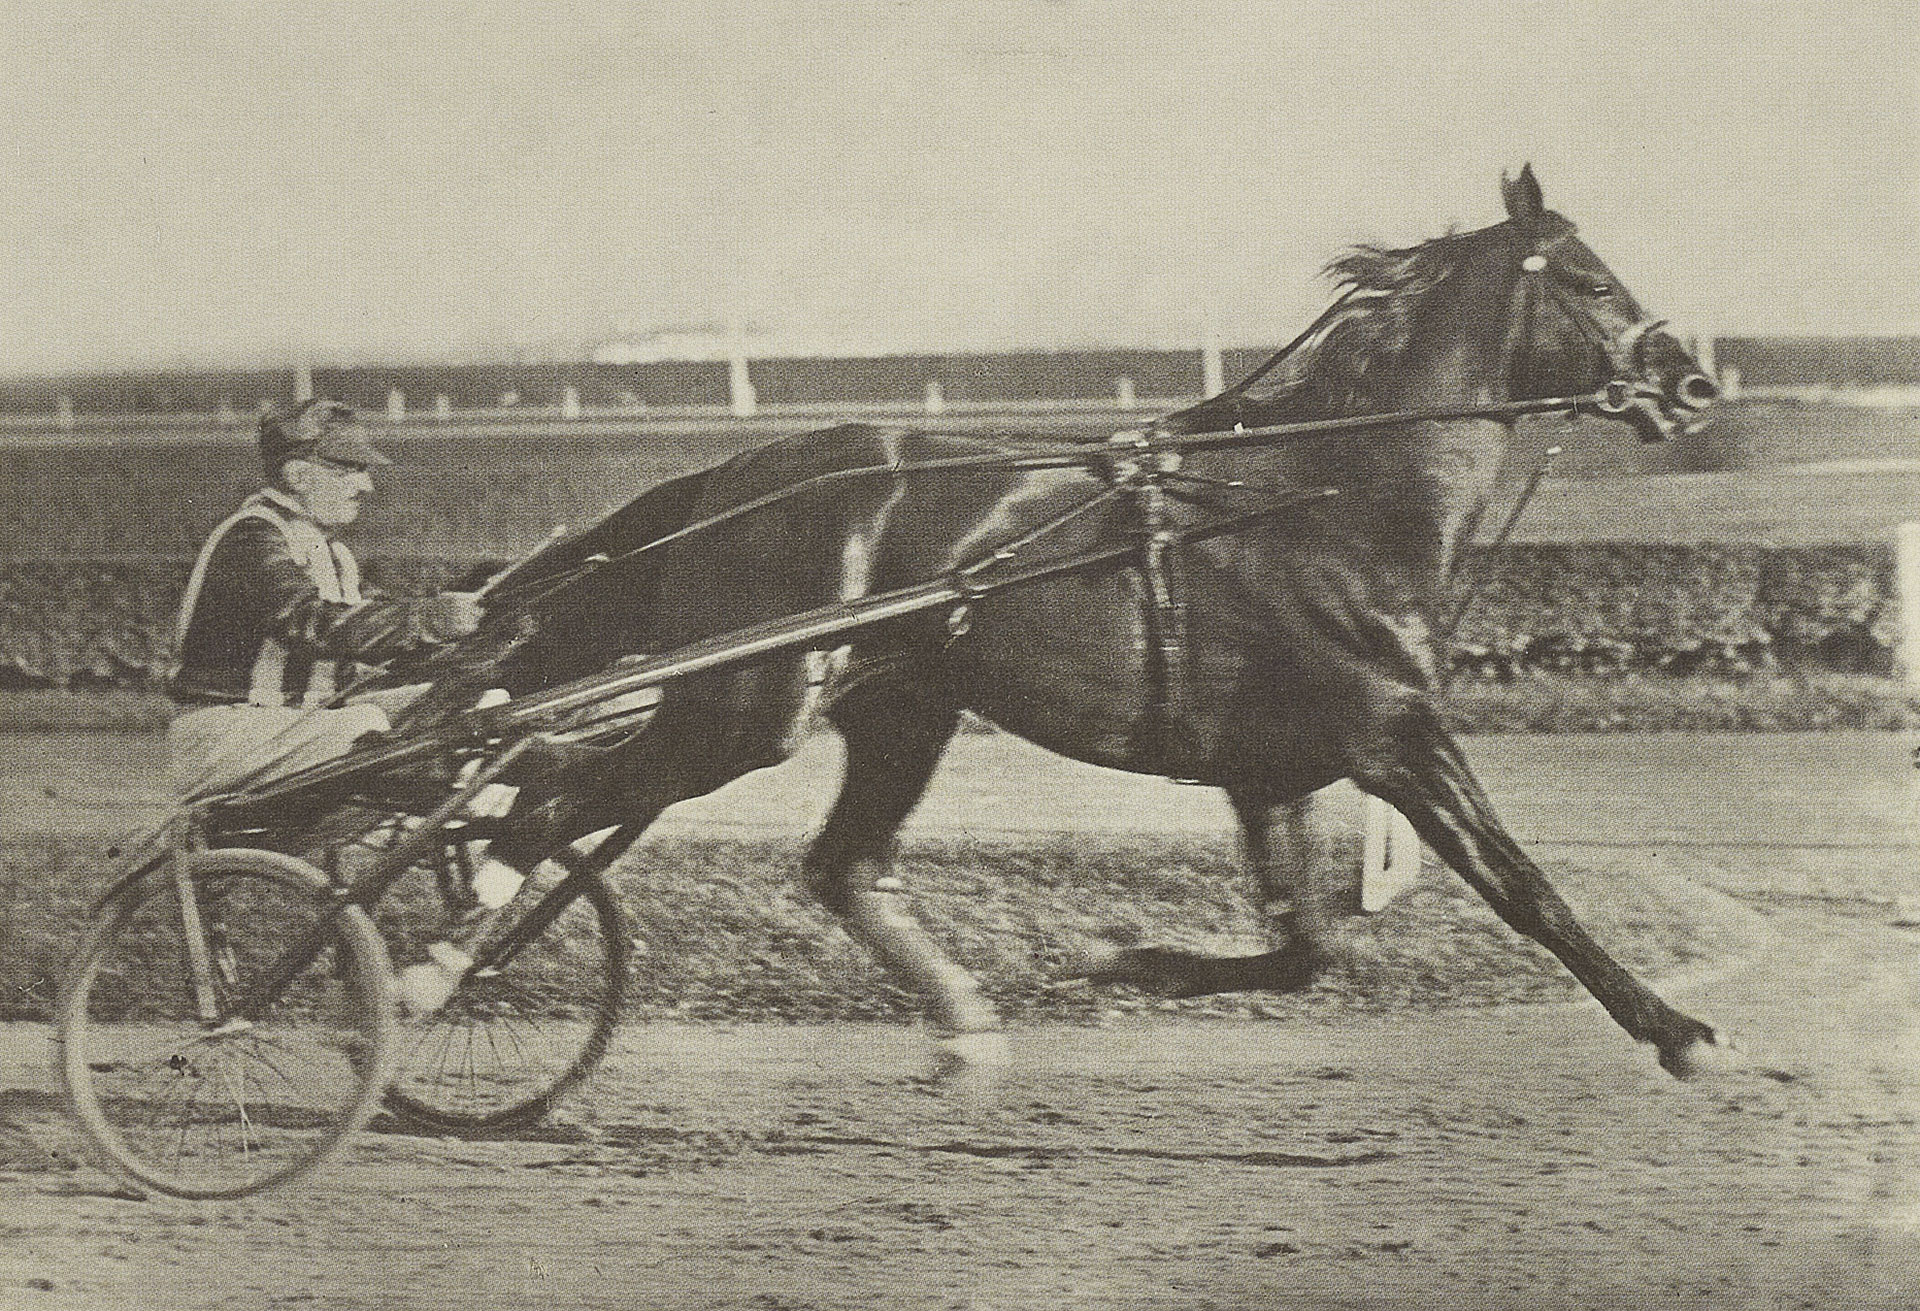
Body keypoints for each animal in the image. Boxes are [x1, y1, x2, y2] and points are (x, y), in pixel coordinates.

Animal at [439, 168, 1743, 1082]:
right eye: (1589, 279)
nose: (1691, 385)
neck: (1329, 500)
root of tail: (731, 477)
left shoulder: (1275, 766)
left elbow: (1311, 949)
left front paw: (1136, 960)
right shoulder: (1393, 736)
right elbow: (1523, 888)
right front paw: (1677, 1029)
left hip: (900, 708)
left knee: (836, 860)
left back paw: (965, 1028)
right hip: (746, 706)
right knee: (550, 792)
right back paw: (437, 962)